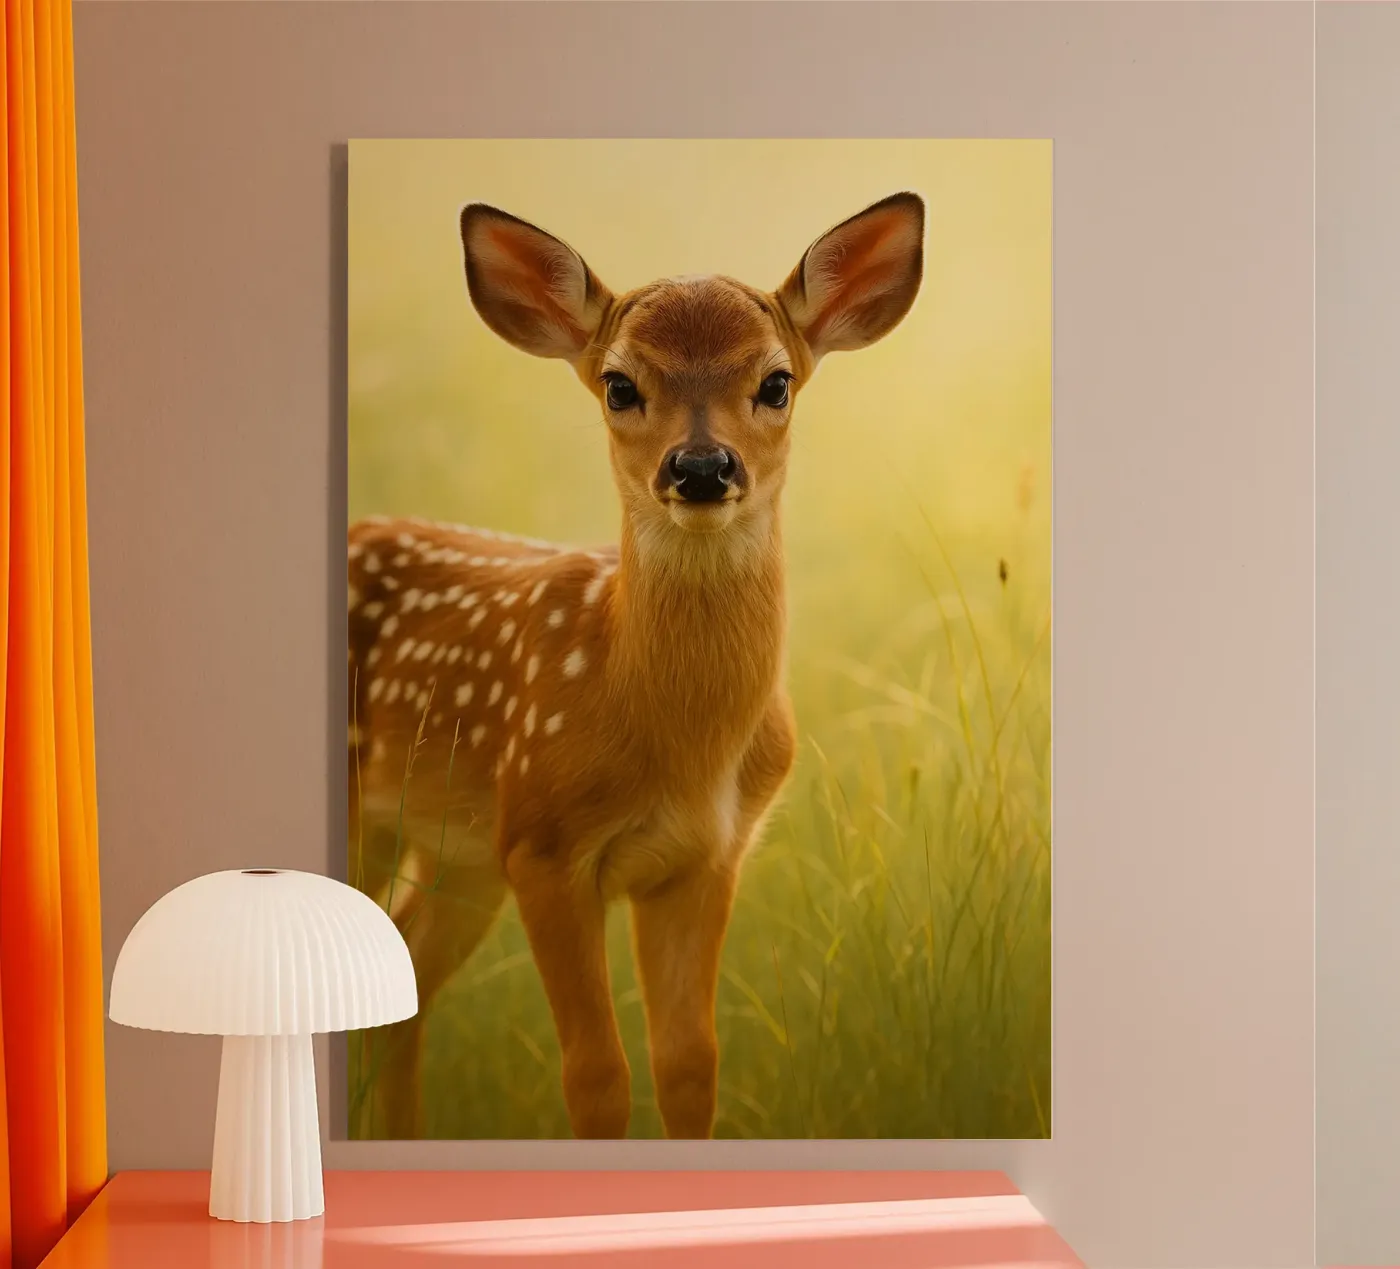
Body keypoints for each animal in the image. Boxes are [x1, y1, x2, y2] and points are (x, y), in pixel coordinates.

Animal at [347, 190, 925, 1141]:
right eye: (621, 385)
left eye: (776, 382)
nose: (701, 466)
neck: (676, 742)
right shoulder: (542, 845)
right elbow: (596, 1074)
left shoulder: (706, 858)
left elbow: (689, 1064)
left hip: (458, 851)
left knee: (401, 979)